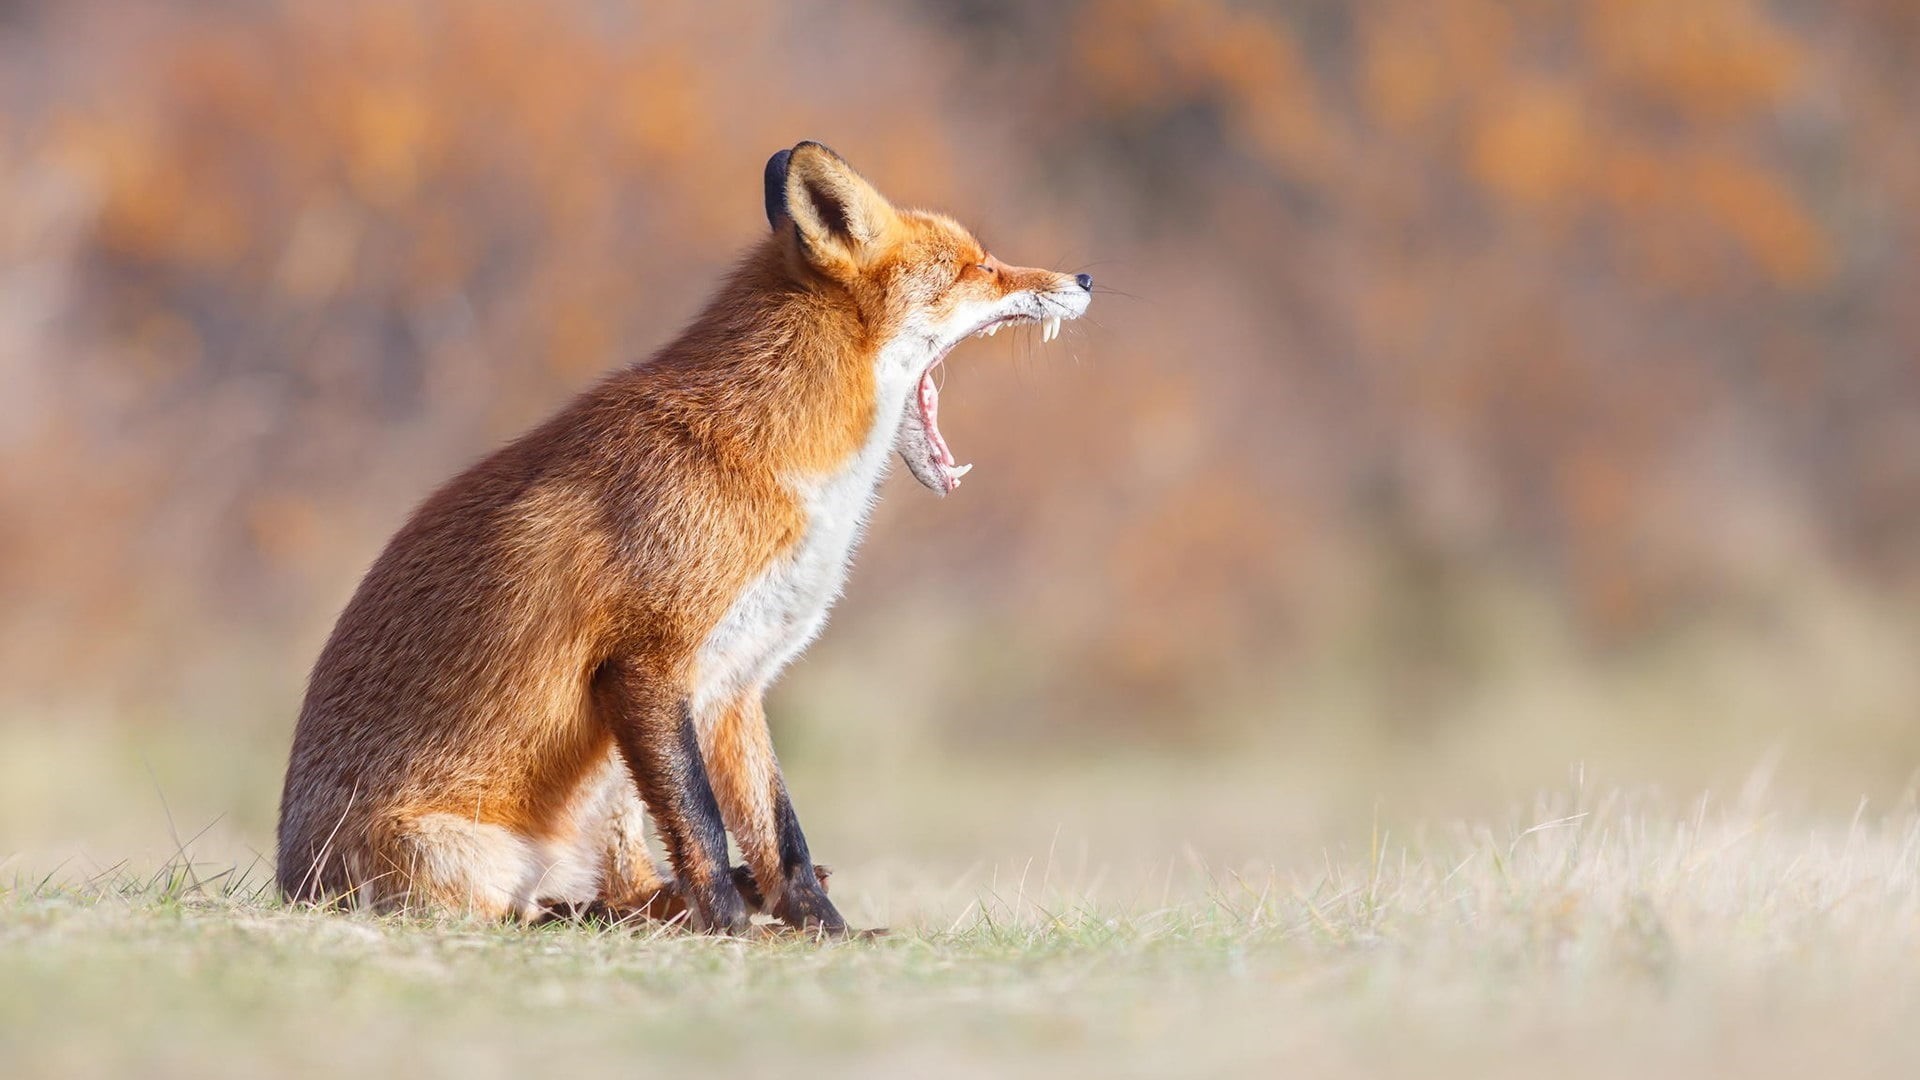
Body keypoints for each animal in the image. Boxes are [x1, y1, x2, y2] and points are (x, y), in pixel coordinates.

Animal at [274, 141, 1093, 934]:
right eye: (979, 267)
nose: (1085, 277)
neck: (778, 462)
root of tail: (292, 883)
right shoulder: (647, 663)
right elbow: (701, 824)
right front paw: (730, 929)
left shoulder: (735, 682)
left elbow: (781, 837)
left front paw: (824, 931)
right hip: (479, 852)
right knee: (527, 910)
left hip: (608, 786)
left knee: (626, 888)